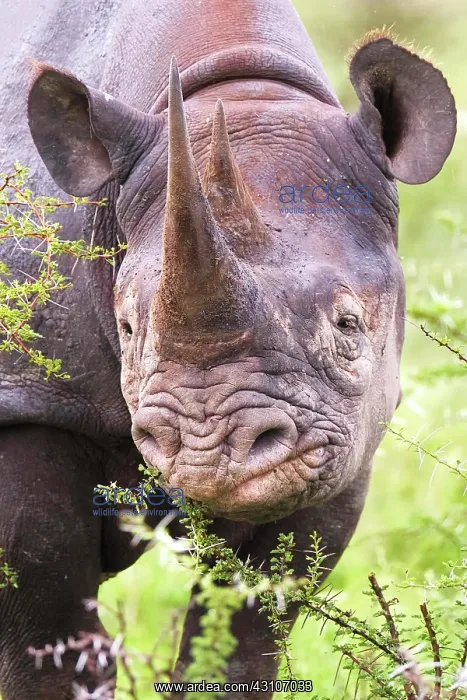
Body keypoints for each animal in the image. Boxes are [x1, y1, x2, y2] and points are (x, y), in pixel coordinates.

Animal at [0, 0, 456, 697]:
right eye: (127, 328)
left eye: (348, 325)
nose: (207, 447)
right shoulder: (30, 396)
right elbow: (45, 612)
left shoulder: (342, 439)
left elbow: (246, 625)